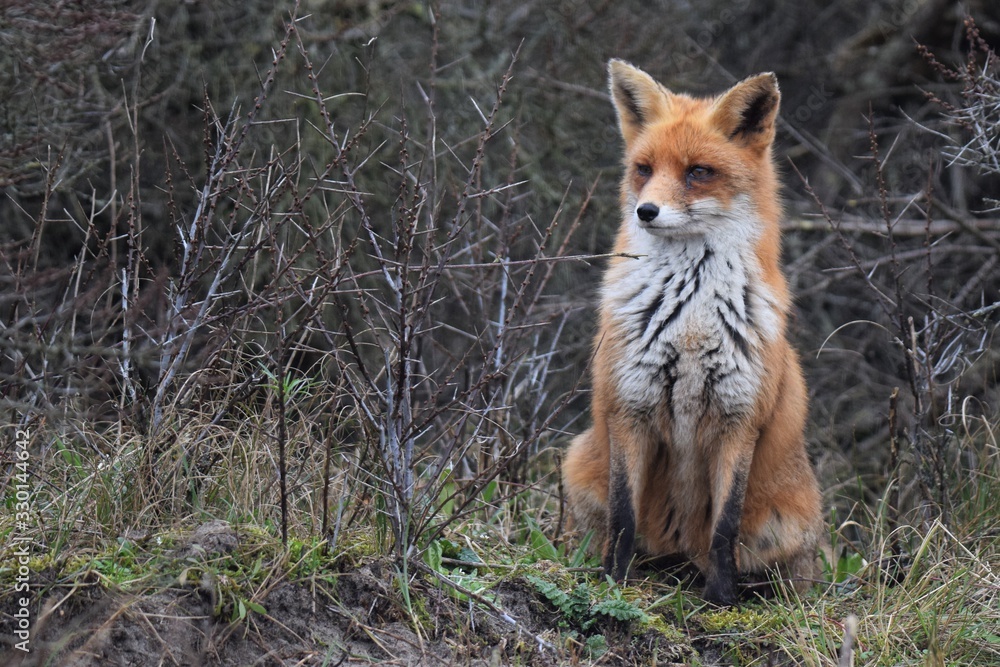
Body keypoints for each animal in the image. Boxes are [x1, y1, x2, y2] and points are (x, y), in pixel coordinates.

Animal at [562, 60, 823, 606]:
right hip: (578, 462)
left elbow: (724, 528)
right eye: (644, 169)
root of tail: (680, 557)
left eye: (698, 172)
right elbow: (623, 517)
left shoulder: (739, 419)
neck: (689, 322)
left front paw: (722, 601)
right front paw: (613, 584)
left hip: (788, 522)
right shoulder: (628, 408)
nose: (645, 211)